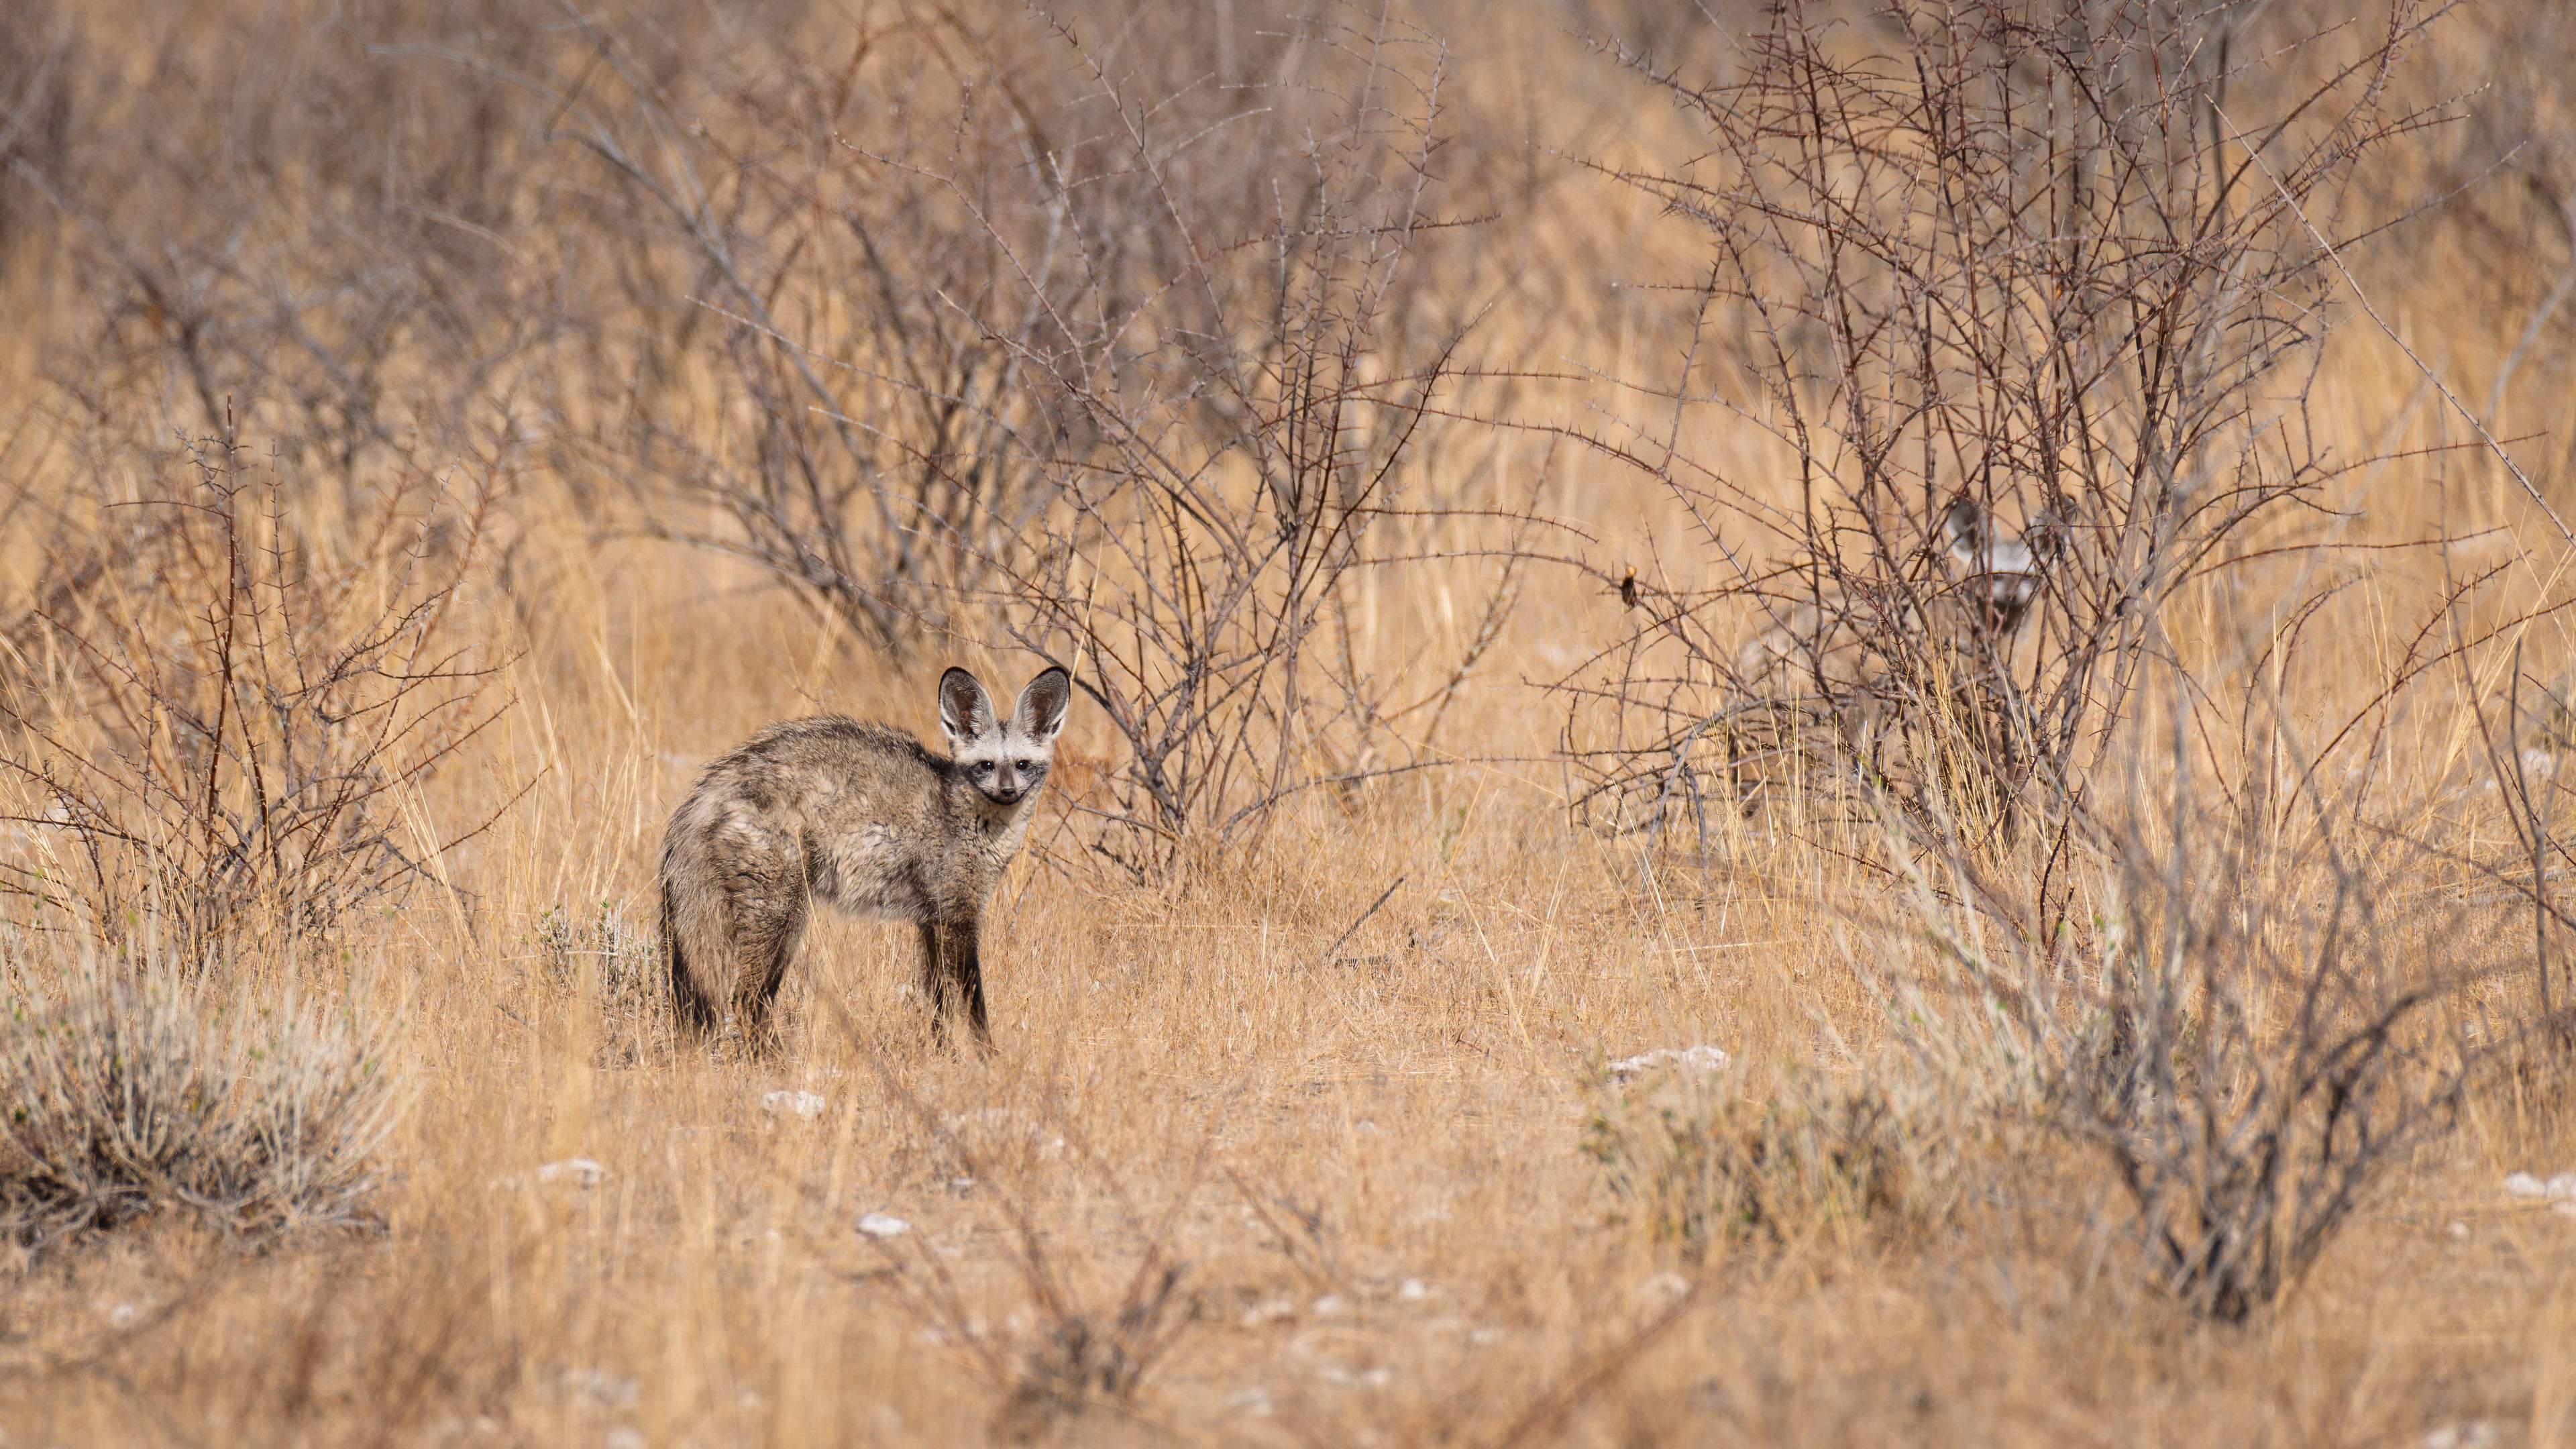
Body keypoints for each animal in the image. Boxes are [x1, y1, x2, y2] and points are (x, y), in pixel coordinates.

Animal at [658, 664, 1073, 1048]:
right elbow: (973, 1007)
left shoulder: (931, 921)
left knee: (750, 1003)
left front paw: (945, 1058)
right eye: (987, 765)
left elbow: (939, 1005)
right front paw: (987, 1060)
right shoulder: (958, 917)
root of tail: (707, 792)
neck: (967, 820)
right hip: (781, 917)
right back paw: (774, 1065)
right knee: (746, 1003)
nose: (1008, 793)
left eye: (1022, 765)